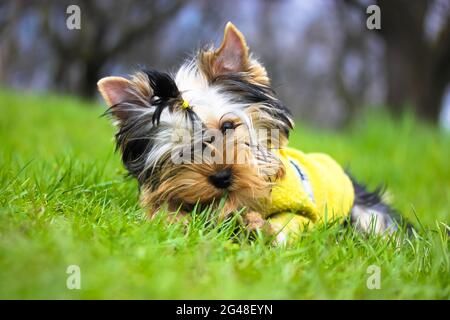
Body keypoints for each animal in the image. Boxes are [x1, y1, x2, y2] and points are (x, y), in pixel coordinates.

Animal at [97, 22, 408, 244]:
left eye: (228, 126)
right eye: (182, 148)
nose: (222, 176)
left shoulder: (303, 212)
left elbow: (289, 225)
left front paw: (257, 229)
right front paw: (175, 220)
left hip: (366, 213)